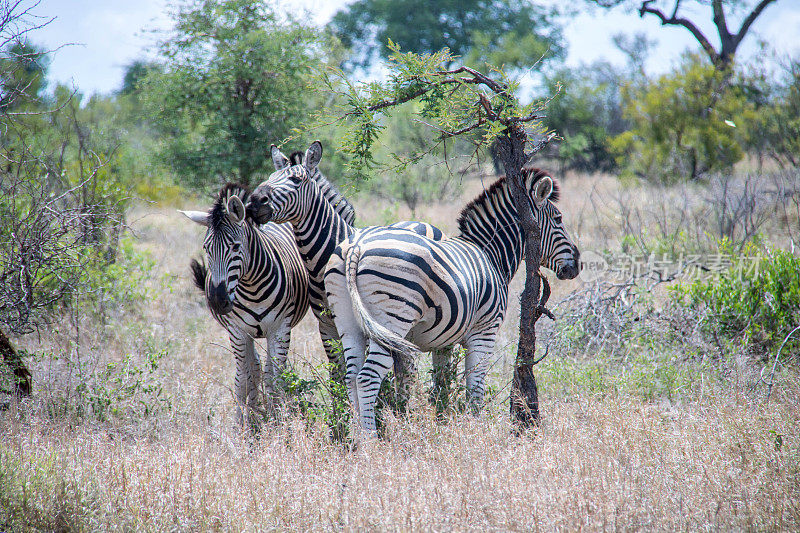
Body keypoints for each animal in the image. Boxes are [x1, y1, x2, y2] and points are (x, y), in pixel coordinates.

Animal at [181, 183, 310, 428]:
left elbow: (275, 378)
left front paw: (277, 420)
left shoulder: (280, 329)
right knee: (254, 368)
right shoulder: (237, 331)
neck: (252, 288)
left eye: (235, 247)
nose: (217, 300)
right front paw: (242, 424)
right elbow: (243, 377)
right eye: (206, 248)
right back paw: (254, 410)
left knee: (267, 369)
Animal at [247, 140, 446, 382]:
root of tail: (420, 222)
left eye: (296, 180)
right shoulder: (326, 326)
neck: (318, 267)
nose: (254, 202)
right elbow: (337, 374)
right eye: (270, 177)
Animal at [324, 168, 580, 434]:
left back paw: (356, 436)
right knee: (367, 378)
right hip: (391, 320)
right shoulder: (484, 332)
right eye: (559, 219)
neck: (491, 254)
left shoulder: (442, 341)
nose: (577, 264)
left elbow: (442, 384)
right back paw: (369, 438)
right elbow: (475, 387)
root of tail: (356, 245)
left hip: (347, 319)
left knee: (351, 377)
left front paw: (442, 422)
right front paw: (476, 429)